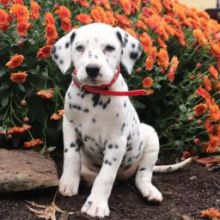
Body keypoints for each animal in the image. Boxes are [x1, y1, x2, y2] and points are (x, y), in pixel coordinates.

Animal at [51, 22, 191, 218]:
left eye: (109, 48)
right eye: (79, 48)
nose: (92, 69)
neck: (96, 95)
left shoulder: (117, 141)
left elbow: (106, 175)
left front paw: (96, 204)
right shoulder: (69, 126)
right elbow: (71, 155)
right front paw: (69, 182)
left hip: (151, 139)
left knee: (142, 175)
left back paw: (149, 191)